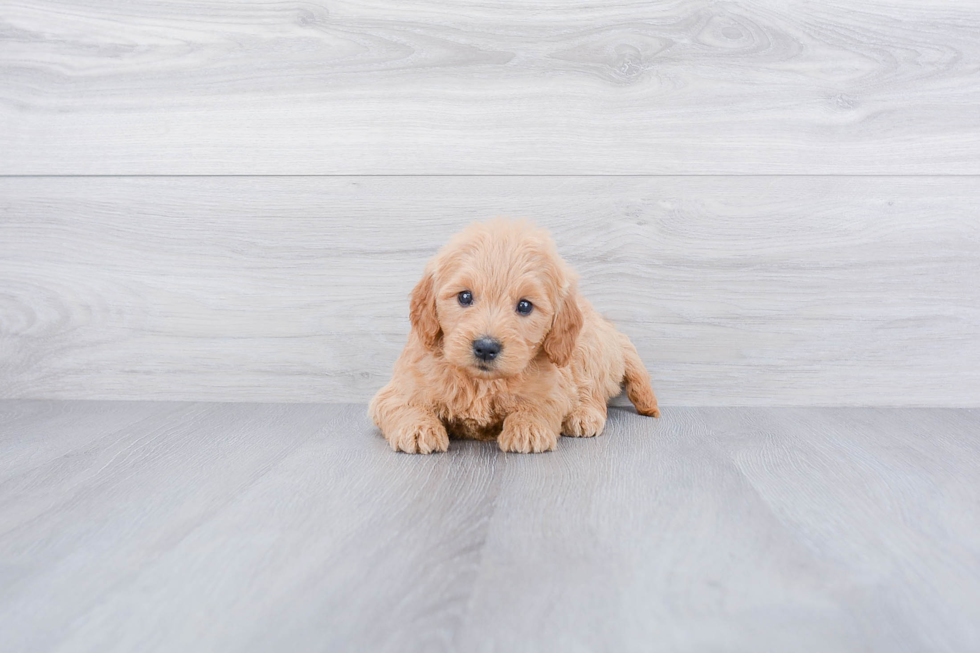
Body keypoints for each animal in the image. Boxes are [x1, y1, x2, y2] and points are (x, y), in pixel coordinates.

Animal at [372, 219, 664, 454]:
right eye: (464, 297)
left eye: (524, 306)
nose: (485, 347)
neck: (482, 383)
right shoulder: (400, 387)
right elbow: (405, 405)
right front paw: (419, 428)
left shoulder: (553, 385)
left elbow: (538, 404)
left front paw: (527, 428)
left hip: (587, 350)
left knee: (593, 392)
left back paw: (583, 414)